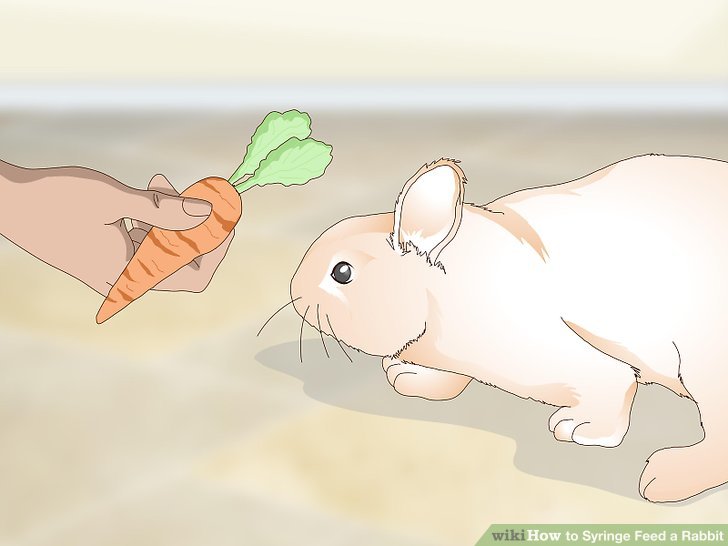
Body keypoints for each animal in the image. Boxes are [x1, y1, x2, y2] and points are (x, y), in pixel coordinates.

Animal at [289, 154, 728, 503]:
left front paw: (580, 428)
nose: (294, 290)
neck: (442, 287)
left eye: (342, 273)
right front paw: (407, 375)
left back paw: (663, 477)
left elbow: (613, 382)